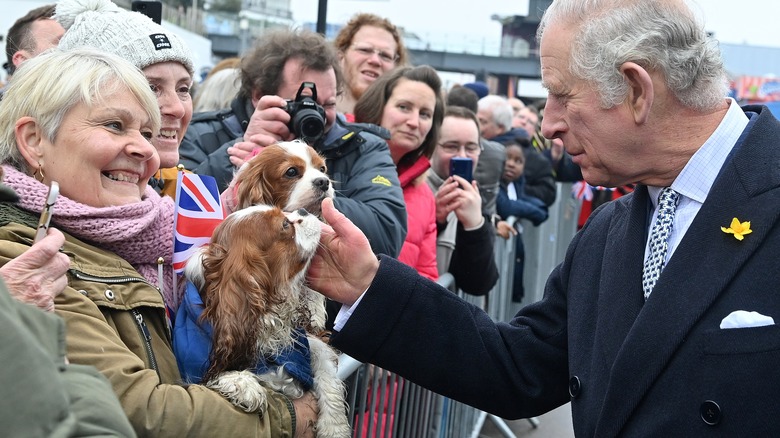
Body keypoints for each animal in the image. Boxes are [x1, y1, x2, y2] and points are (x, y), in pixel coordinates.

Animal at [186, 206, 348, 438]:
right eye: (285, 225)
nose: (303, 210)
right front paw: (241, 383)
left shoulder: (305, 342)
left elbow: (326, 368)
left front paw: (334, 426)